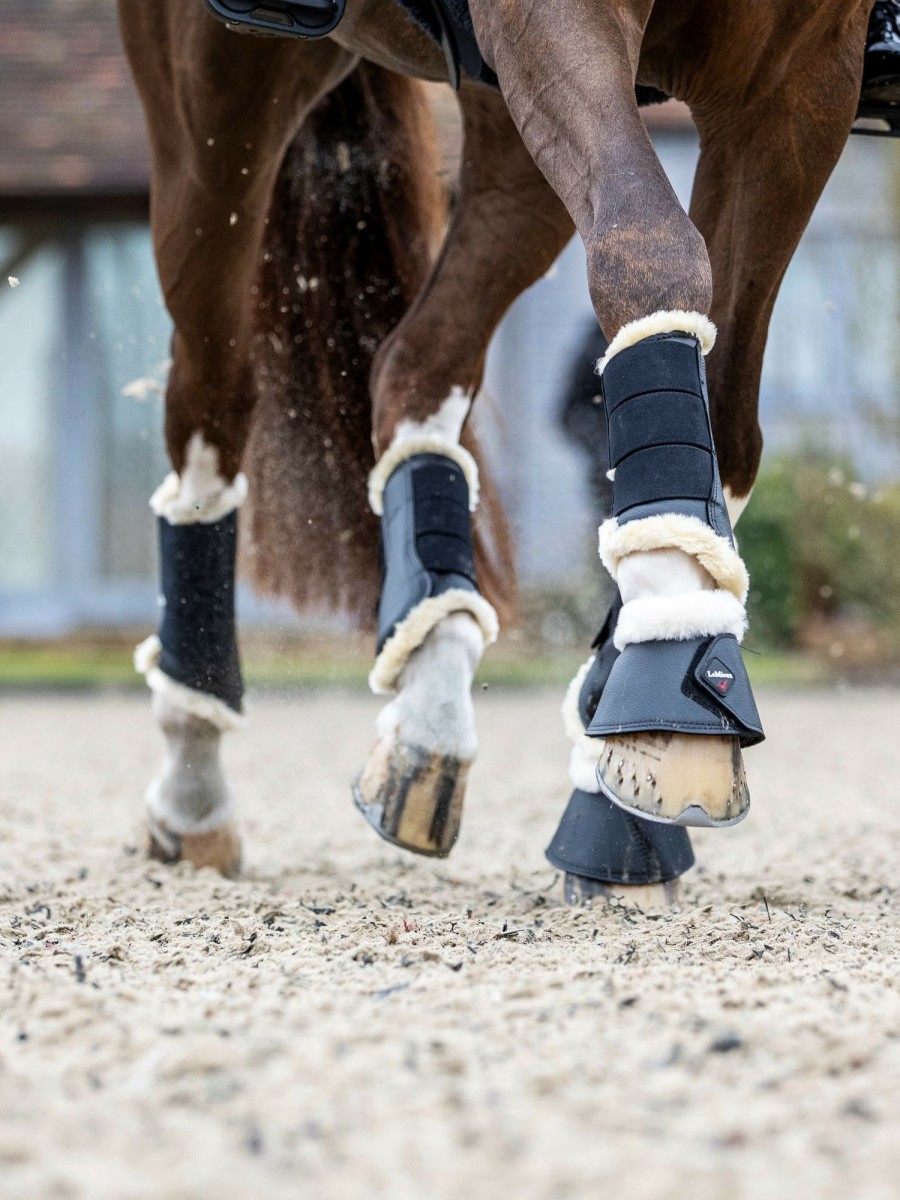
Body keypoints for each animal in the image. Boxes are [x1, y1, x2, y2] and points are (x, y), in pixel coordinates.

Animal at [120, 0, 873, 902]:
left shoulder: (799, 79)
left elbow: (725, 421)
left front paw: (621, 772)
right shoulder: (558, 23)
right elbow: (649, 252)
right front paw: (675, 702)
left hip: (506, 129)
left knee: (413, 366)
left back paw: (429, 716)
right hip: (218, 108)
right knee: (215, 395)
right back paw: (194, 780)